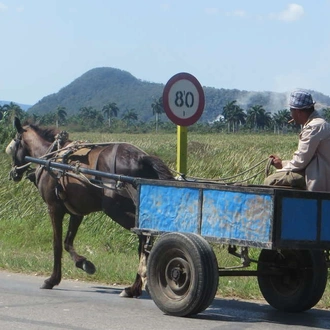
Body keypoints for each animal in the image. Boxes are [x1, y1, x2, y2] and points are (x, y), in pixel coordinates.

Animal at [5, 117, 175, 298]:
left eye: (13, 145)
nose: (14, 173)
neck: (50, 157)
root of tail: (142, 157)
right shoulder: (77, 212)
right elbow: (67, 242)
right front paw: (84, 263)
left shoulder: (54, 208)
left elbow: (57, 244)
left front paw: (52, 279)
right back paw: (136, 285)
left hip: (116, 209)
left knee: (146, 236)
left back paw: (138, 283)